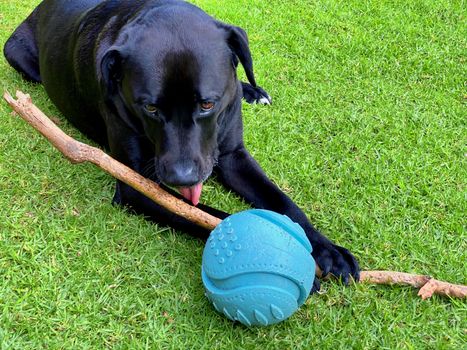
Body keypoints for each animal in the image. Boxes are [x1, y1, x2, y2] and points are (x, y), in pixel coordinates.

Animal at [4, 0, 358, 290]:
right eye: (150, 108)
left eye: (207, 104)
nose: (182, 177)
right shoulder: (137, 186)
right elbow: (208, 216)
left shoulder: (233, 155)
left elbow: (281, 200)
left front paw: (327, 249)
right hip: (15, 53)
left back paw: (252, 89)